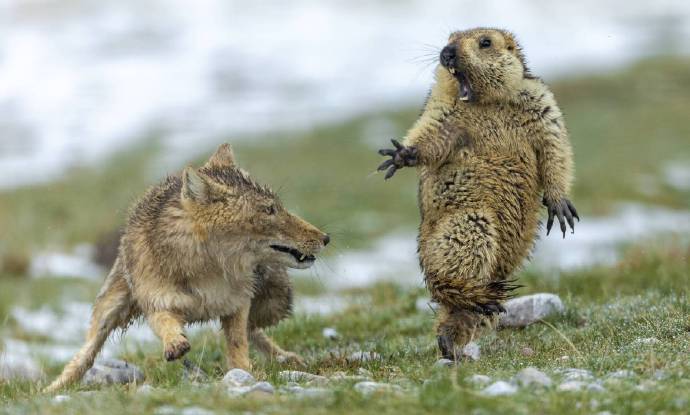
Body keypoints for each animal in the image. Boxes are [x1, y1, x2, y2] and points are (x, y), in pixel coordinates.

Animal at [44, 144, 330, 394]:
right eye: (269, 210)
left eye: (278, 207)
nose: (326, 238)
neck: (208, 271)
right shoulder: (157, 303)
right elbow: (165, 323)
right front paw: (175, 343)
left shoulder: (237, 303)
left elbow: (238, 343)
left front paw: (244, 374)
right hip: (109, 310)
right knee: (85, 355)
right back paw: (52, 388)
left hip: (274, 302)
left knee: (255, 330)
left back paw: (286, 358)